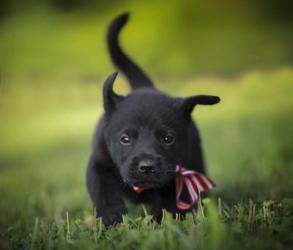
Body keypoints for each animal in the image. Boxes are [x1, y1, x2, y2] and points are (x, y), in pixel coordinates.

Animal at [85, 12, 218, 226]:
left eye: (168, 138)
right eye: (125, 139)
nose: (146, 167)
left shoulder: (178, 176)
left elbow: (169, 205)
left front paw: (162, 224)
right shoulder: (98, 165)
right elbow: (104, 193)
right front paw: (113, 220)